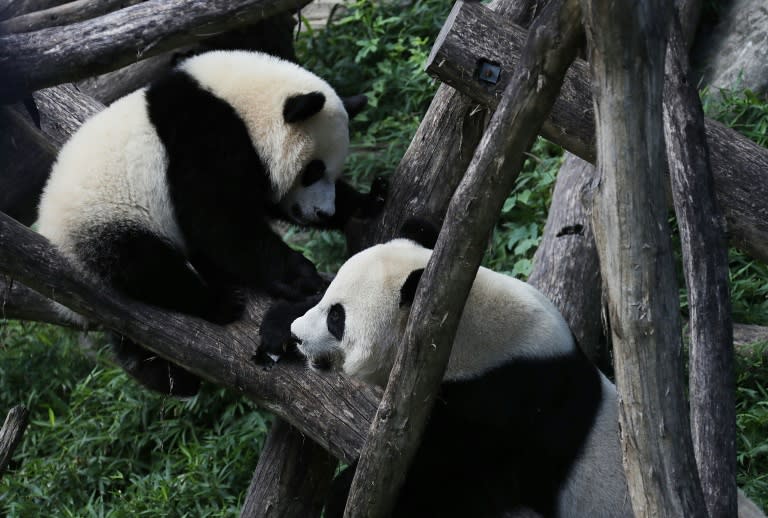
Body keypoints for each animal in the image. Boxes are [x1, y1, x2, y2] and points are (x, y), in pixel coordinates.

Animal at [35, 49, 384, 398]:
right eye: (313, 170)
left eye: (332, 172)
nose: (323, 212)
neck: (240, 103)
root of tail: (53, 237)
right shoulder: (201, 139)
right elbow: (218, 221)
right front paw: (301, 276)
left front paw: (366, 201)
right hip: (108, 222)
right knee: (149, 267)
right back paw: (217, 304)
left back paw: (164, 374)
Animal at [260, 223, 632, 518]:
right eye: (327, 299)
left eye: (337, 318)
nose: (299, 335)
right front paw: (278, 325)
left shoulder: (507, 402)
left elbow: (453, 475)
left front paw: (341, 494)